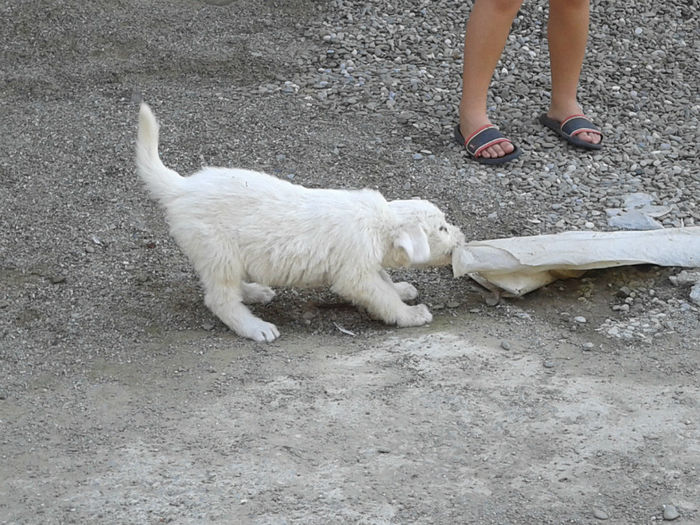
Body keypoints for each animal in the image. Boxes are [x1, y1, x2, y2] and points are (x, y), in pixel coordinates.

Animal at [136, 102, 464, 342]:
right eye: (442, 228)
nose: (461, 237)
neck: (378, 222)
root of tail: (181, 187)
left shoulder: (365, 264)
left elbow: (385, 281)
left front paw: (402, 289)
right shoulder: (355, 274)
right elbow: (382, 296)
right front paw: (411, 314)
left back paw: (255, 292)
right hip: (218, 251)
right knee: (220, 299)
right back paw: (255, 327)